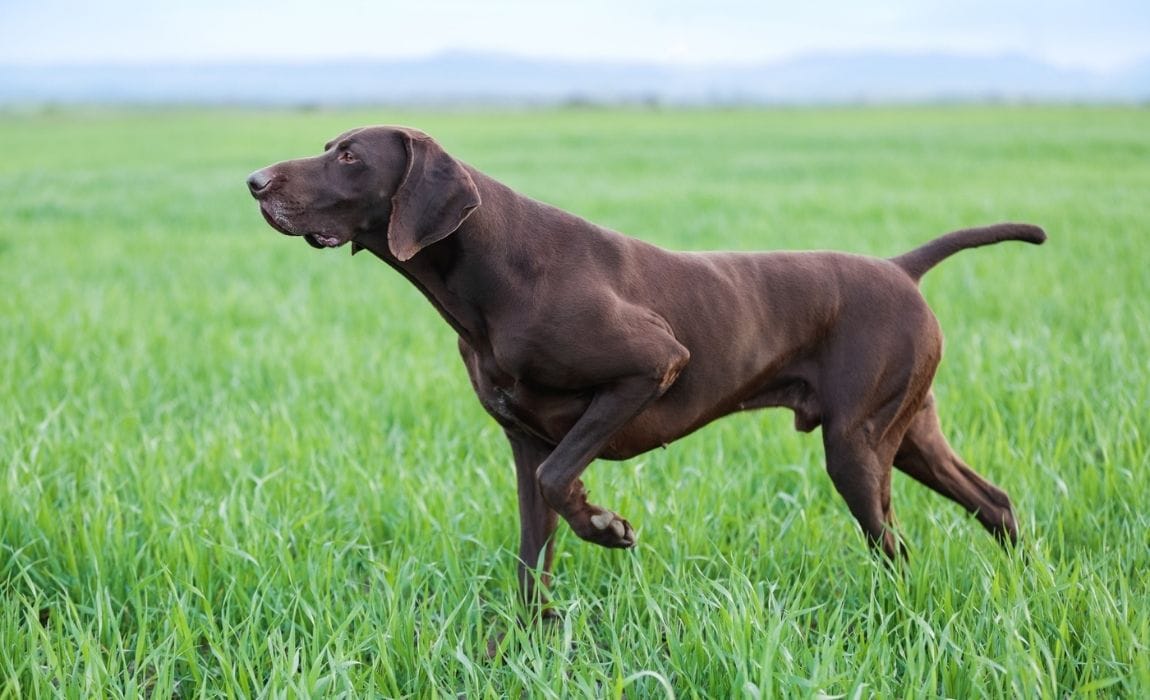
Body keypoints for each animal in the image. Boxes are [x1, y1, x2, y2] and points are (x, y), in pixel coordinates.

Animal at [247, 127, 1048, 611]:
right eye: (331, 148)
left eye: (350, 156)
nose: (255, 181)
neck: (494, 269)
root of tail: (899, 268)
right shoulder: (522, 441)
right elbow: (532, 549)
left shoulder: (650, 367)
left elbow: (561, 478)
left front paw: (606, 526)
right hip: (906, 435)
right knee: (995, 501)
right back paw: (1025, 582)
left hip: (857, 446)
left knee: (896, 544)